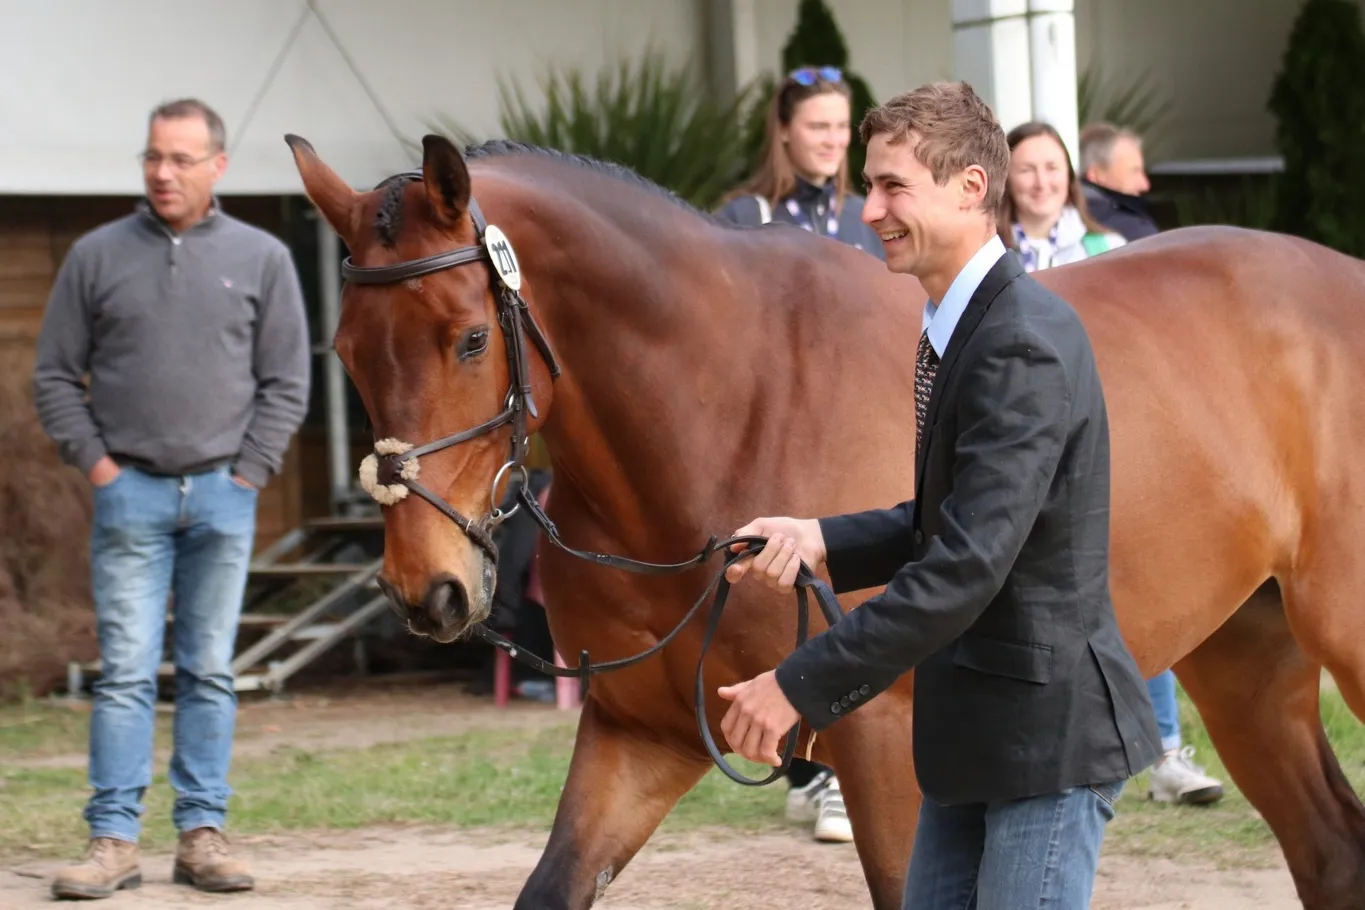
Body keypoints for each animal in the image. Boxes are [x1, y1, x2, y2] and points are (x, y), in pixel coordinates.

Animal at [285, 131, 1365, 910]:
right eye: (347, 348)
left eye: (470, 338)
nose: (427, 590)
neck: (727, 411)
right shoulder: (640, 735)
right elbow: (552, 887)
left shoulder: (886, 746)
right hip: (1244, 662)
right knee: (1329, 850)